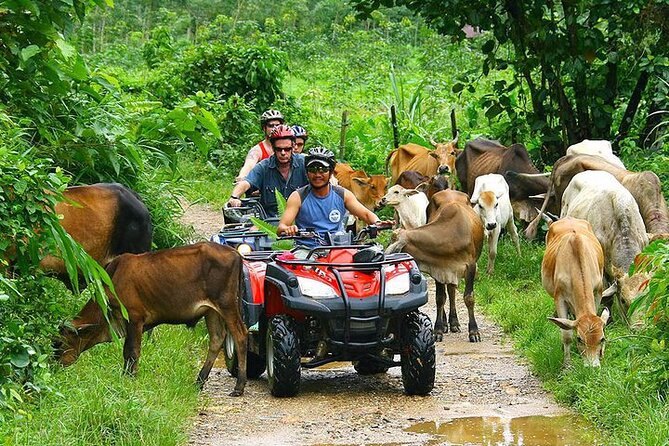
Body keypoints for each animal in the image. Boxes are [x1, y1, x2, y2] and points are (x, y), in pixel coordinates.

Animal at [54, 244, 248, 398]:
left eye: (60, 343)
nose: (53, 365)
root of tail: (235, 254)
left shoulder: (134, 318)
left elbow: (132, 351)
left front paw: (130, 378)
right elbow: (127, 352)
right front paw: (126, 376)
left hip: (227, 305)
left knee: (241, 335)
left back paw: (239, 387)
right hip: (211, 311)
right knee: (217, 338)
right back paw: (199, 381)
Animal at [384, 191, 482, 342]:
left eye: (392, 242)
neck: (451, 235)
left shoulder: (471, 267)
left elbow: (469, 298)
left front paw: (474, 331)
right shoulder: (438, 268)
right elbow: (440, 298)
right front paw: (438, 329)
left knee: (452, 290)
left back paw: (454, 323)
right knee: (448, 291)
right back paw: (448, 323)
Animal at [544, 218, 612, 368]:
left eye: (602, 339)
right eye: (580, 339)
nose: (592, 367)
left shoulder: (597, 292)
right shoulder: (559, 298)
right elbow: (566, 335)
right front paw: (567, 364)